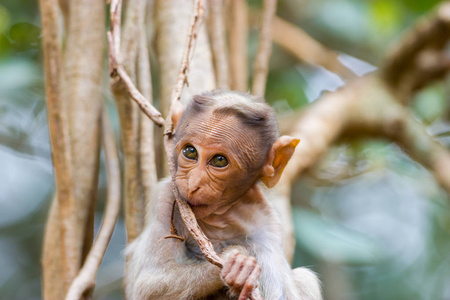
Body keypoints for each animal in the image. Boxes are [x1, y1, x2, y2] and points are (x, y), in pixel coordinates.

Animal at [126, 90, 322, 298]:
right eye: (190, 151)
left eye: (219, 160)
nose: (193, 183)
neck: (217, 217)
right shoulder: (167, 197)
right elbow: (147, 288)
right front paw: (237, 263)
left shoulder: (267, 224)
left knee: (304, 277)